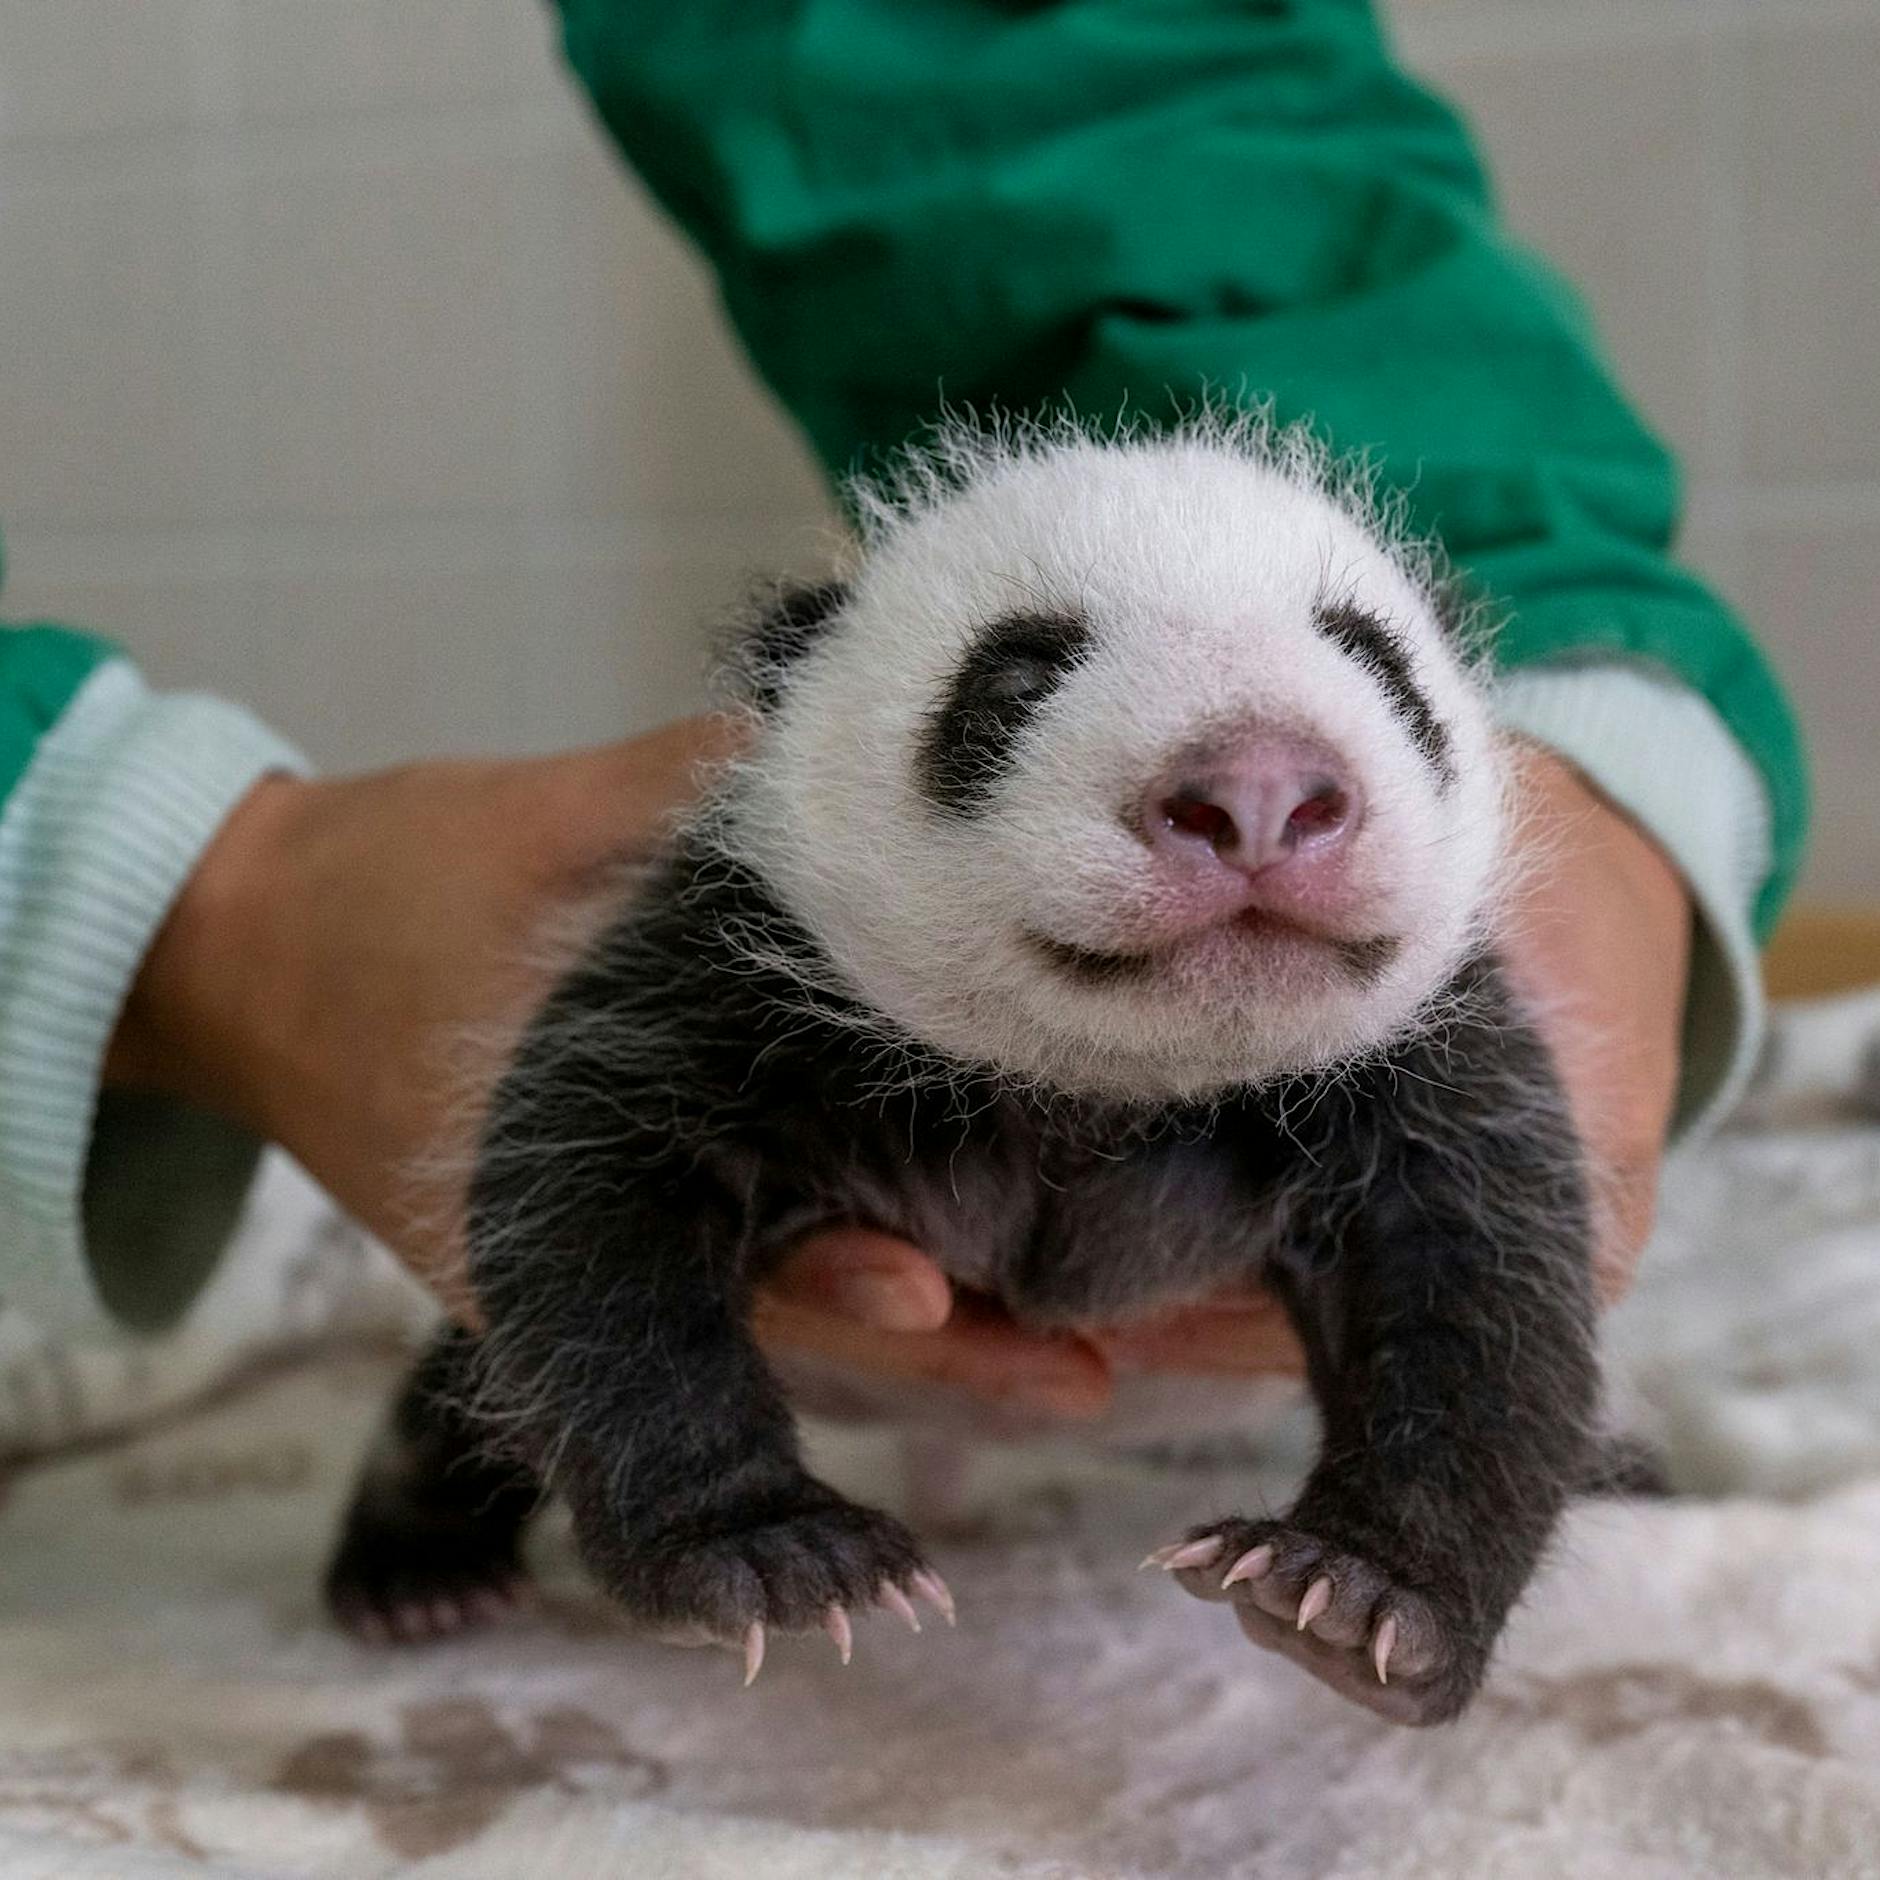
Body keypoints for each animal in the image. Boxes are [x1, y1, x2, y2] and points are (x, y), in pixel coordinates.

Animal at [325, 415, 1628, 1728]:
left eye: (1377, 663)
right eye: (1013, 679)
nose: (1257, 789)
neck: (1112, 1085)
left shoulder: (1417, 1063)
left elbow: (1482, 1289)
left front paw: (1357, 1593)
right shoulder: (742, 976)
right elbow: (595, 1199)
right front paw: (771, 1554)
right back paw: (415, 1572)